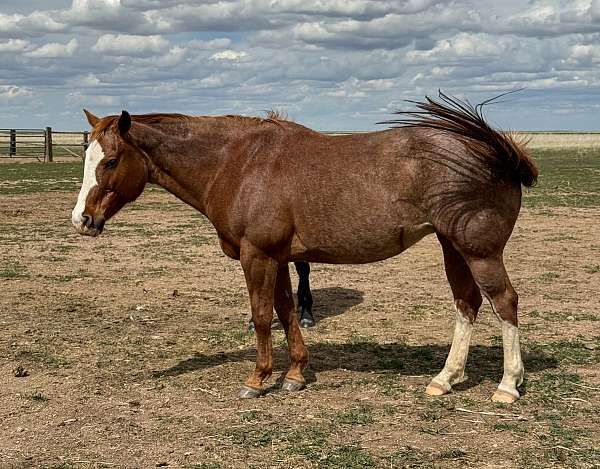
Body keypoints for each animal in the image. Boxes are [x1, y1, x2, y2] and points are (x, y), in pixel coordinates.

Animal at [71, 92, 540, 402]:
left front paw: (258, 380)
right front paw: (295, 373)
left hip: (479, 252)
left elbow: (263, 316)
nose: (81, 220)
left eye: (110, 161)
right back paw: (445, 379)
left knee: (504, 303)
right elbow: (286, 311)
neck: (238, 163)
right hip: (451, 247)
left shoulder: (257, 256)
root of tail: (494, 152)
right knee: (467, 304)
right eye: (87, 158)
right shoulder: (278, 259)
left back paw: (506, 386)